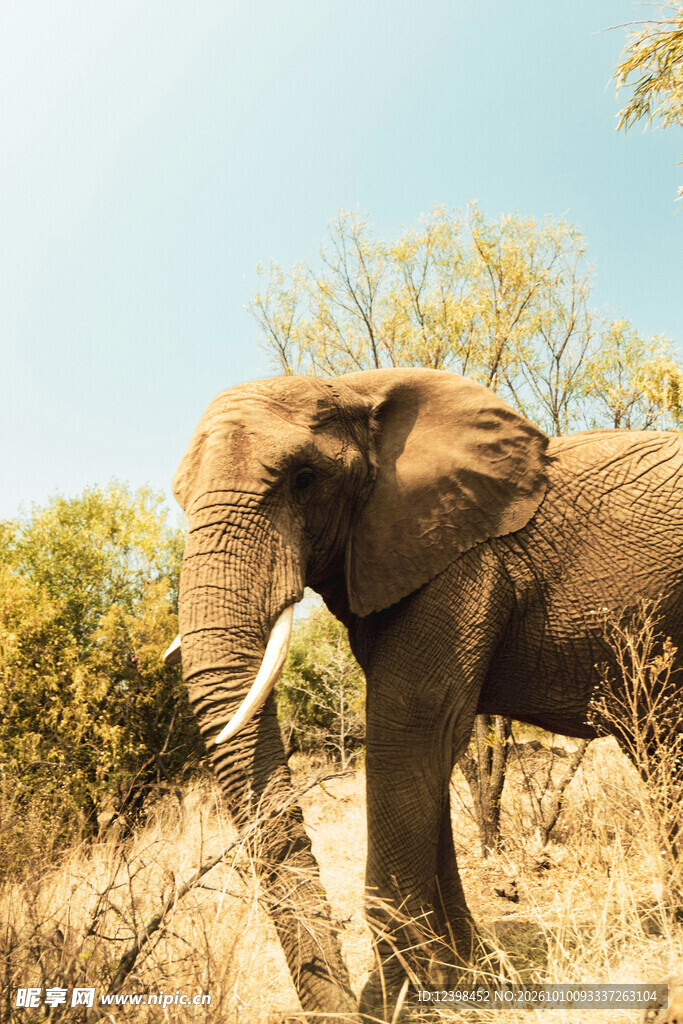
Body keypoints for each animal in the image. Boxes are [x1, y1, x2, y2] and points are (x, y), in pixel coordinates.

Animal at [164, 367, 683, 1021]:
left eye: (303, 480)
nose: (338, 1007)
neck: (355, 389)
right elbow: (427, 755)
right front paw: (468, 979)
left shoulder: (459, 566)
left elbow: (408, 729)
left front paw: (395, 1003)